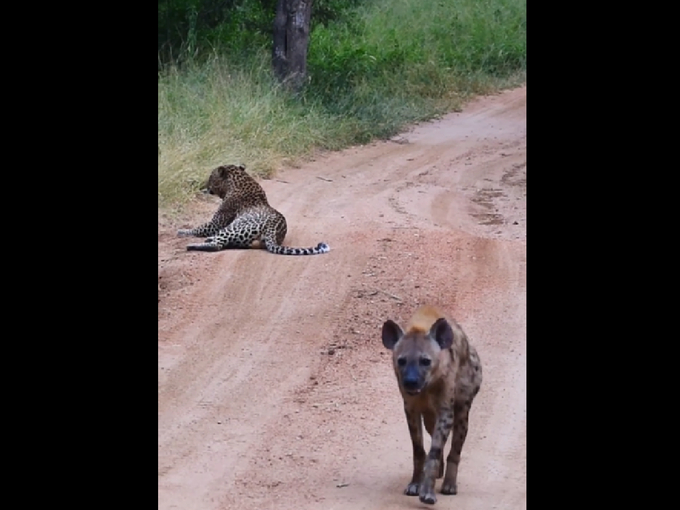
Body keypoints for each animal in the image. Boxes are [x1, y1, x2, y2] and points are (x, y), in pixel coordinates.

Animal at [178, 163, 330, 255]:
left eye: (211, 176)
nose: (205, 186)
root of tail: (274, 230)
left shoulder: (216, 223)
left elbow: (198, 228)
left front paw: (181, 231)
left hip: (232, 228)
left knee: (217, 245)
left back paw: (192, 245)